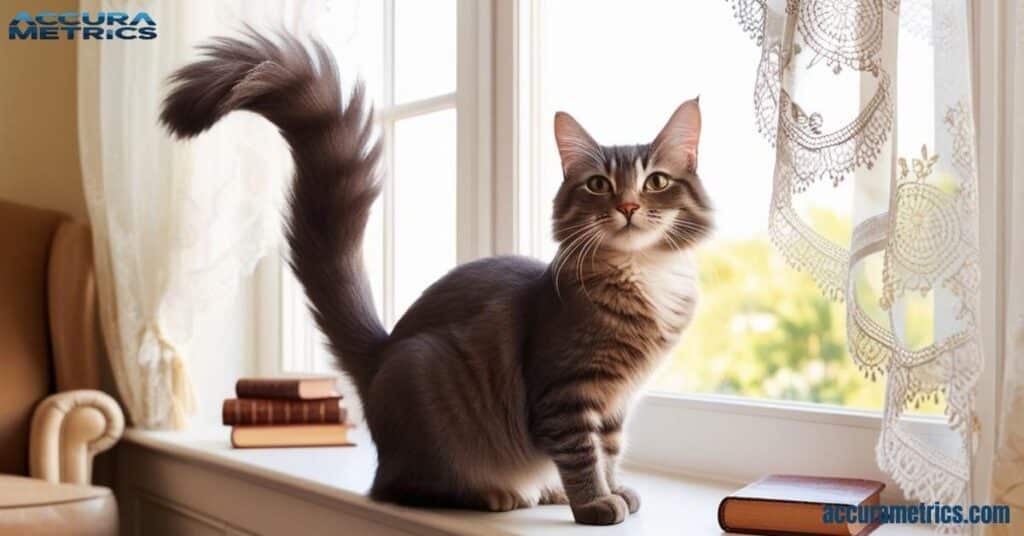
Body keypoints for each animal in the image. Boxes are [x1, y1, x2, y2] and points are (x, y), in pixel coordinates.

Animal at [163, 31, 712, 524]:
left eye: (655, 181)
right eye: (599, 184)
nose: (629, 206)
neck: (644, 276)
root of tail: (382, 353)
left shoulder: (616, 402)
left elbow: (609, 451)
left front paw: (613, 490)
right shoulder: (566, 392)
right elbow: (582, 454)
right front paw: (595, 504)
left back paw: (544, 490)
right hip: (425, 388)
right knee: (395, 489)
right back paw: (498, 495)